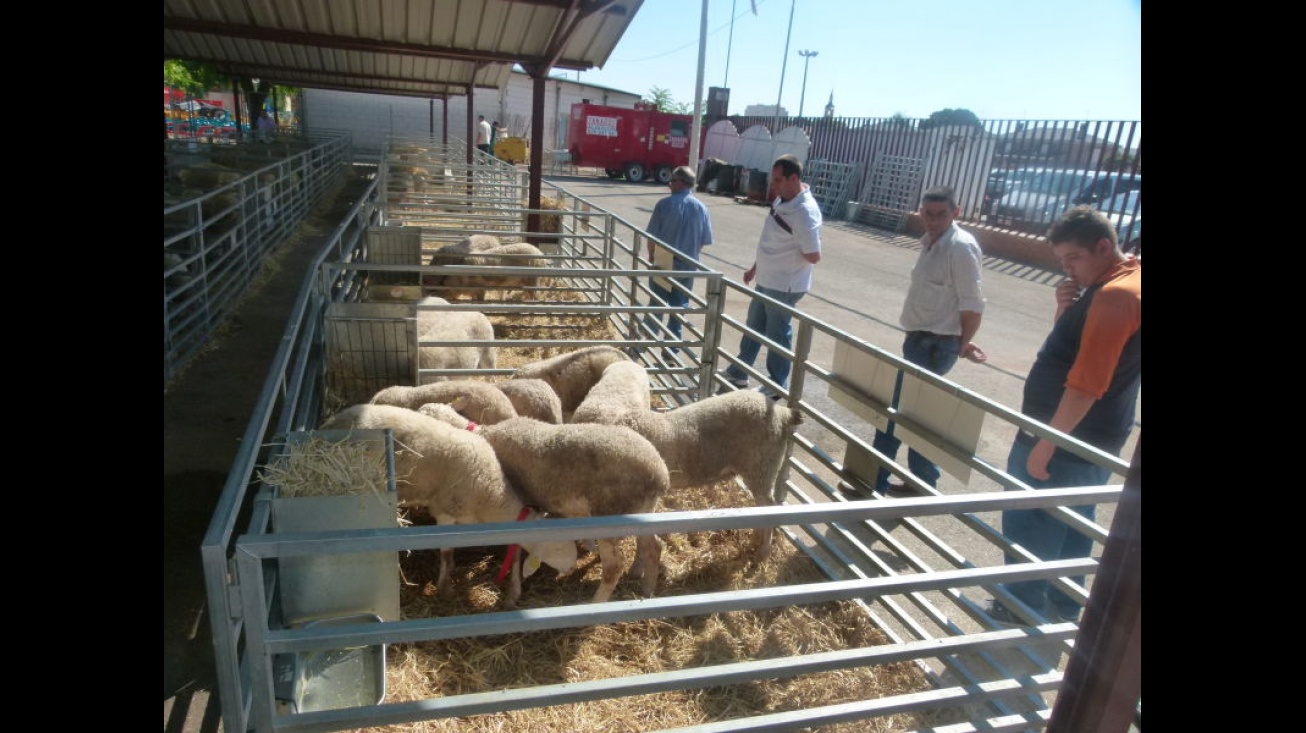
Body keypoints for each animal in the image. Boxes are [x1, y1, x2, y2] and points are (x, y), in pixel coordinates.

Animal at [318, 399, 574, 606]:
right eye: (558, 547)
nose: (571, 569)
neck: (491, 494)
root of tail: (333, 421)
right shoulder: (445, 512)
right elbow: (447, 552)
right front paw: (445, 588)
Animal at [417, 402, 668, 603]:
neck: (484, 434)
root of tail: (660, 474)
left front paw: (513, 590)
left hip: (609, 516)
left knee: (614, 566)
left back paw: (595, 603)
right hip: (642, 511)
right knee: (653, 547)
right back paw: (647, 588)